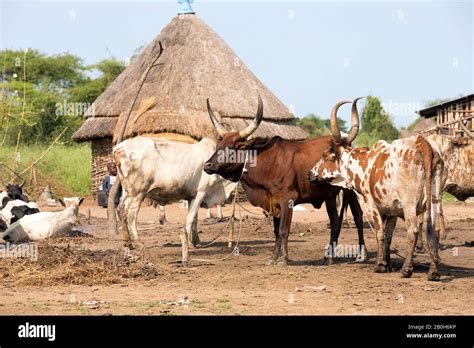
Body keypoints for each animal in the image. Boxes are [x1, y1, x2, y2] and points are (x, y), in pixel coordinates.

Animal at [308, 97, 444, 280]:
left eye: (325, 155)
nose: (310, 173)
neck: (363, 164)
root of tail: (424, 146)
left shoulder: (371, 206)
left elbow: (379, 233)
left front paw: (380, 265)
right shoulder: (392, 211)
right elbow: (388, 236)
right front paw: (387, 264)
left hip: (410, 205)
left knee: (413, 230)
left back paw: (407, 269)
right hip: (434, 202)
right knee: (434, 230)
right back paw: (433, 271)